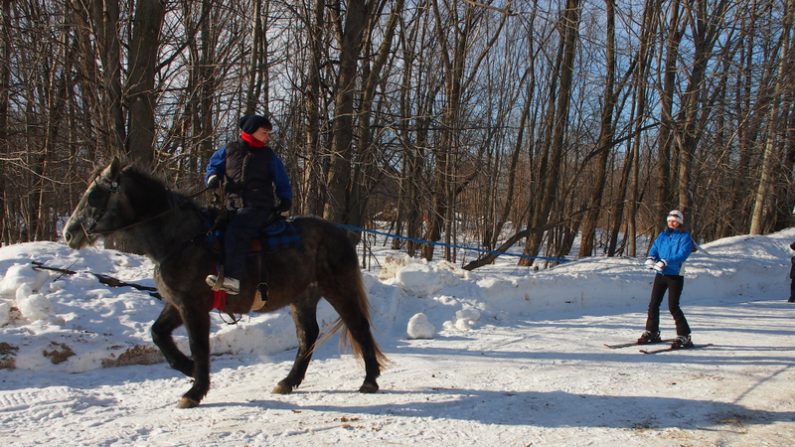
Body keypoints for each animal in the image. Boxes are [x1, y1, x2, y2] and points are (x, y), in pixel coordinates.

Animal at [62, 158, 386, 410]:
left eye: (94, 195)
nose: (69, 232)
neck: (182, 239)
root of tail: (339, 232)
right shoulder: (177, 304)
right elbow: (159, 335)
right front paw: (189, 370)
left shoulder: (193, 306)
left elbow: (198, 345)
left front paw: (195, 390)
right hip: (302, 297)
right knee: (308, 336)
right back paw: (288, 381)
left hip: (338, 288)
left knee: (358, 326)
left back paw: (370, 380)